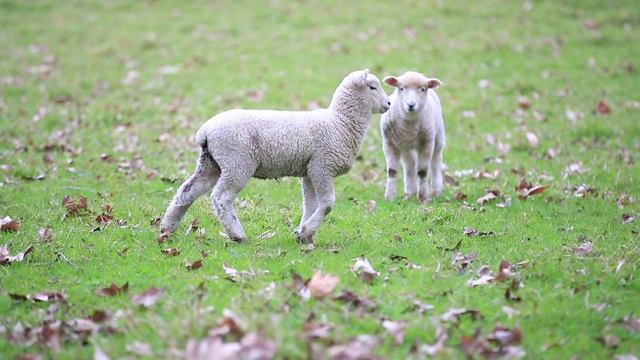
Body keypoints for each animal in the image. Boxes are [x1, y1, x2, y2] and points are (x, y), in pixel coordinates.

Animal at [160, 69, 390, 243]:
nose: (388, 104)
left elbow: (311, 204)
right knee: (221, 197)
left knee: (187, 192)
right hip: (237, 162)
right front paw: (307, 232)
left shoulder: (309, 171)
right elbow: (327, 204)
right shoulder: (322, 167)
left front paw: (304, 235)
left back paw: (167, 228)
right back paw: (237, 235)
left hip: (211, 163)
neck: (340, 123)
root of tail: (205, 131)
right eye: (372, 87)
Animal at [380, 70, 444, 202]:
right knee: (410, 165)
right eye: (401, 88)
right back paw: (410, 193)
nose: (411, 105)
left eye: (423, 89)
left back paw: (436, 190)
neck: (409, 122)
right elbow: (392, 171)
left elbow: (422, 172)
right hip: (405, 146)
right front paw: (390, 196)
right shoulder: (389, 143)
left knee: (436, 162)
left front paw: (423, 197)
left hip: (438, 137)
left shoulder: (427, 143)